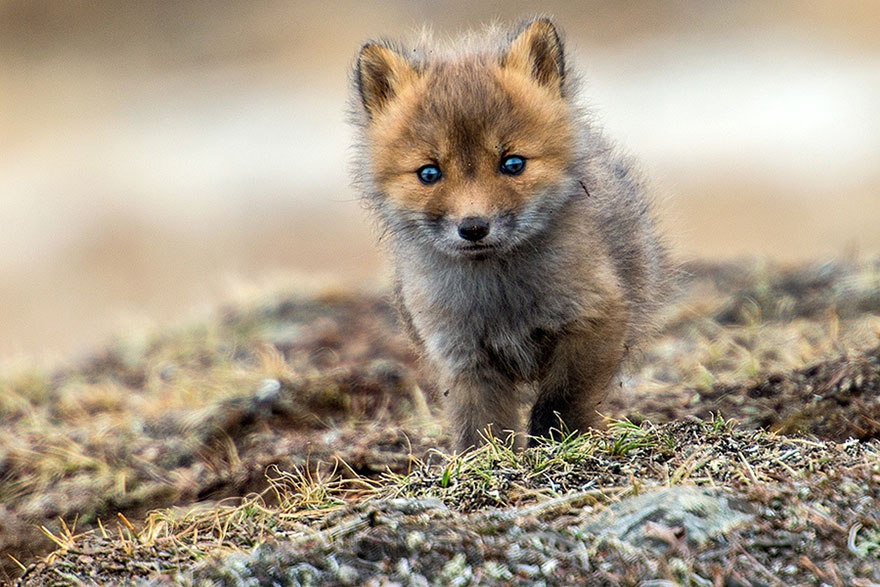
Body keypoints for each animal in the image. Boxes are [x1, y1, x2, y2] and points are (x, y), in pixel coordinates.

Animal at [350, 17, 671, 452]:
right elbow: (480, 427)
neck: (500, 296)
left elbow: (562, 400)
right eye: (429, 173)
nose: (473, 227)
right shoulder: (460, 354)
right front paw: (482, 459)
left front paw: (560, 442)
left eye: (513, 164)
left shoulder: (594, 318)